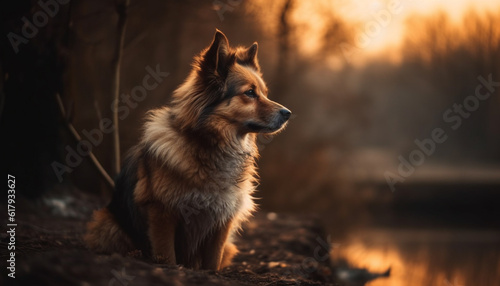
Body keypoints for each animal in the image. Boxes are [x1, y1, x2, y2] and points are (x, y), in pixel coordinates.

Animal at [84, 29, 292, 270]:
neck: (210, 145)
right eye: (249, 93)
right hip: (109, 224)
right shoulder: (162, 213)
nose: (288, 113)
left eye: (265, 93)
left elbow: (213, 262)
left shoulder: (222, 220)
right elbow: (167, 255)